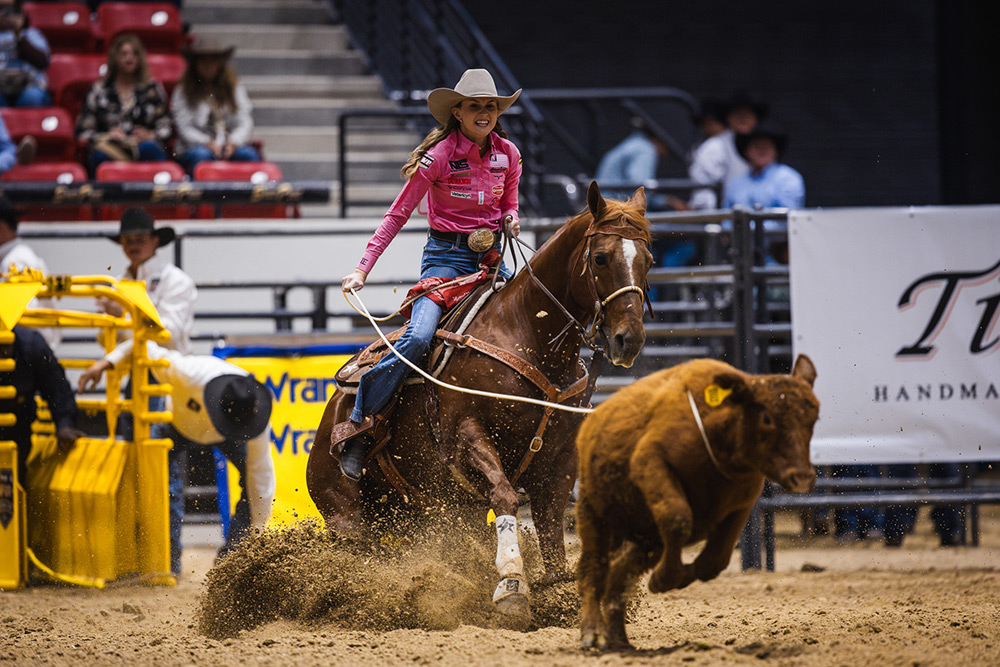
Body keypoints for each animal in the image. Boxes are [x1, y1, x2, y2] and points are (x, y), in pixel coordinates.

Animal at [308, 181, 652, 620]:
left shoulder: (559, 459)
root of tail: (329, 418)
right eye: (600, 257)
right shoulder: (466, 436)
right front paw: (511, 585)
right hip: (344, 515)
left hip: (430, 513)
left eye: (649, 259)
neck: (526, 335)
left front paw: (559, 592)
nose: (630, 339)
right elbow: (504, 493)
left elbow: (551, 520)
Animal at [576, 358, 816, 648]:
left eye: (813, 418)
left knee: (618, 576)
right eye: (766, 418)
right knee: (594, 569)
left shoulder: (743, 503)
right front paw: (661, 580)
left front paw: (669, 578)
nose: (802, 477)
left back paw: (619, 639)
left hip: (644, 537)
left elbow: (714, 561)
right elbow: (678, 519)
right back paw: (593, 632)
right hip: (594, 516)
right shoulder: (650, 460)